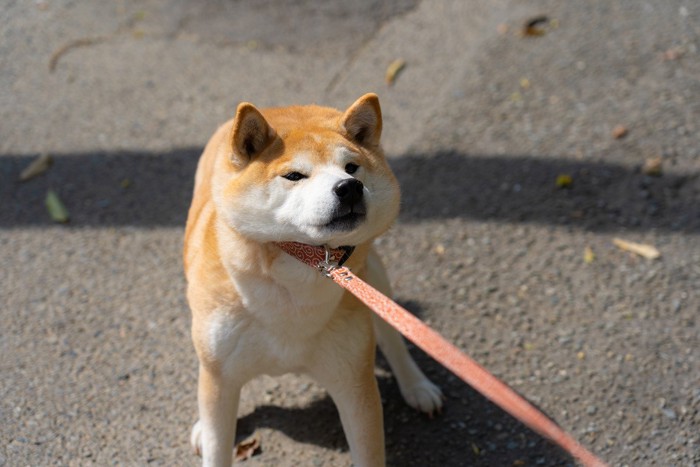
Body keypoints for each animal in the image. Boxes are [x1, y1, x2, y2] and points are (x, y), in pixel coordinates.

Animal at [183, 93, 440, 466]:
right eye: (294, 175)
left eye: (352, 168)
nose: (349, 187)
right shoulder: (221, 373)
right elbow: (218, 443)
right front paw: (211, 431)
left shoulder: (353, 383)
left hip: (375, 284)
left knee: (394, 336)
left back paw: (416, 386)